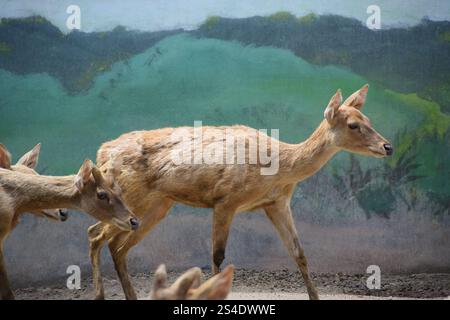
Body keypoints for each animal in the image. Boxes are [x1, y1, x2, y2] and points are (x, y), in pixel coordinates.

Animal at [88, 84, 394, 300]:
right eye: (353, 125)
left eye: (368, 118)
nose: (388, 146)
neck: (278, 167)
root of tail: (101, 153)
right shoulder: (226, 199)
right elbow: (217, 257)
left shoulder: (277, 203)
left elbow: (299, 253)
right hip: (130, 197)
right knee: (96, 234)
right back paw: (100, 294)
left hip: (158, 205)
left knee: (117, 245)